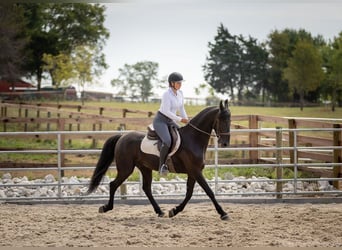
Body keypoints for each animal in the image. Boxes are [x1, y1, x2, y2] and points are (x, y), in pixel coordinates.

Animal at [88, 98, 231, 220]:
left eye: (229, 120)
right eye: (222, 119)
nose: (225, 143)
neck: (193, 139)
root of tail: (122, 137)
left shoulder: (193, 172)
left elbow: (189, 193)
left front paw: (174, 210)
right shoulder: (195, 171)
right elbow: (209, 191)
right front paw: (223, 213)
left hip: (144, 168)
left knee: (146, 188)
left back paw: (159, 211)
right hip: (126, 169)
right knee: (113, 184)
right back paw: (106, 207)